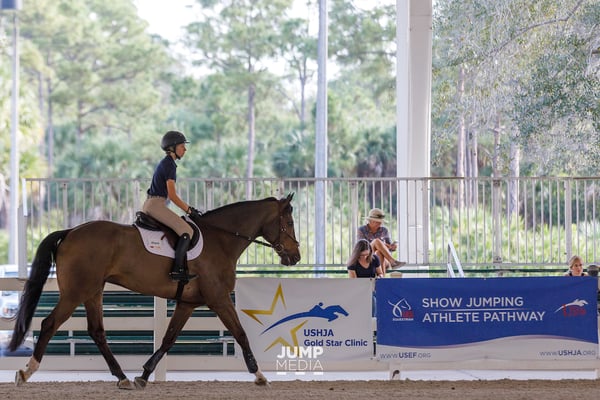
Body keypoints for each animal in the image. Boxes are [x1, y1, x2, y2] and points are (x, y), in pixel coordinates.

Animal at [8, 194, 298, 388]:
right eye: (290, 221)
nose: (295, 256)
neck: (222, 240)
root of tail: (71, 231)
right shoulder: (220, 299)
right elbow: (241, 334)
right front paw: (260, 376)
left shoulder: (188, 303)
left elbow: (169, 338)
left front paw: (144, 375)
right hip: (75, 293)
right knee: (49, 324)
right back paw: (26, 372)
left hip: (93, 292)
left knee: (97, 332)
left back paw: (123, 377)